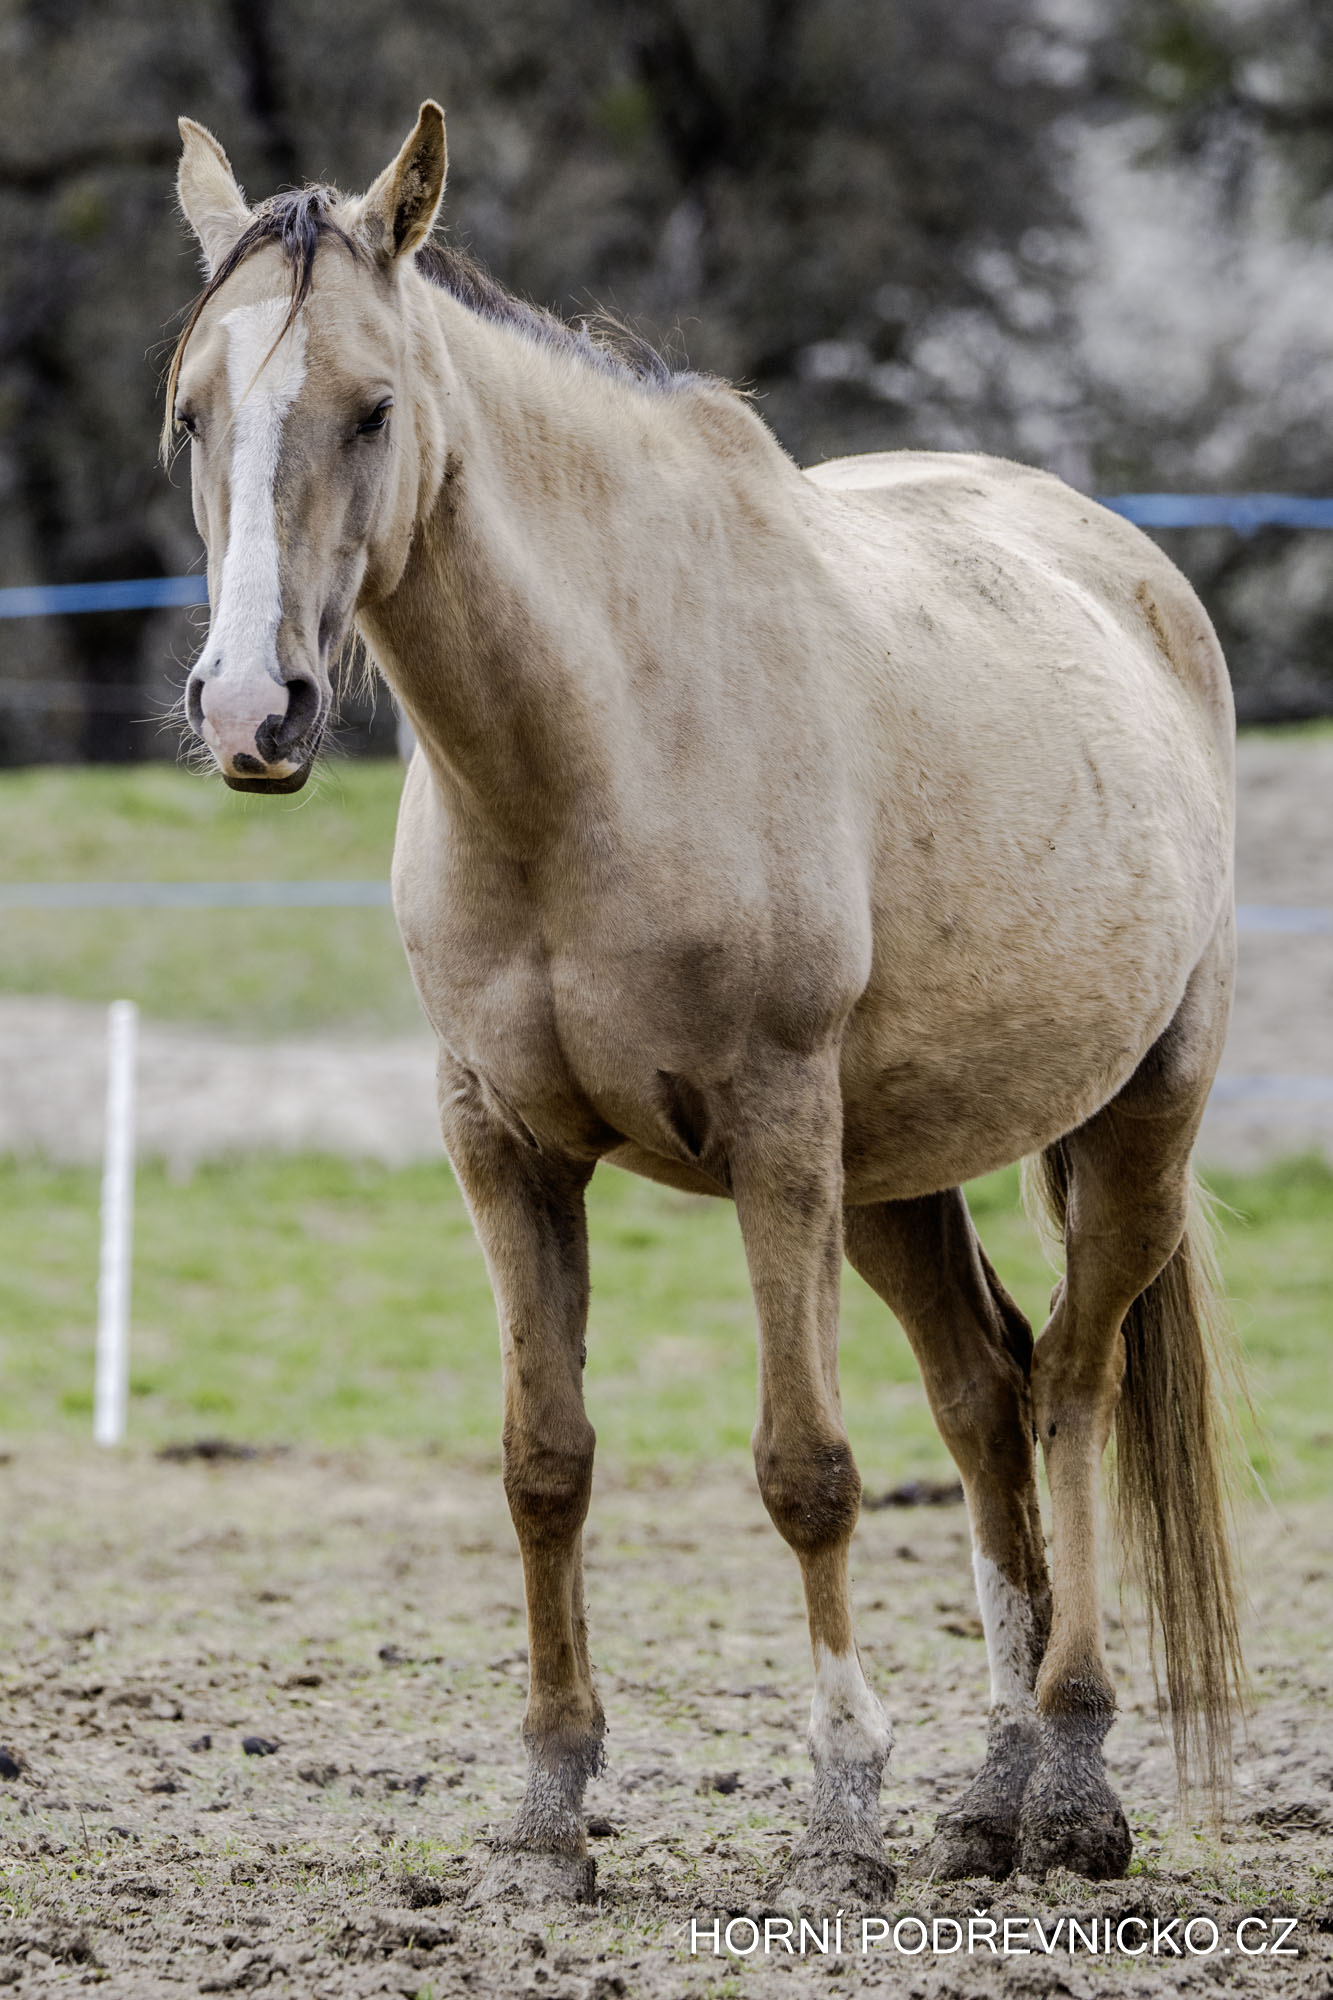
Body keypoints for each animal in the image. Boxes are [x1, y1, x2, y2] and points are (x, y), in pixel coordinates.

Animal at [166, 103, 1243, 1906]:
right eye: (193, 409)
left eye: (371, 408)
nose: (253, 708)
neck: (598, 742)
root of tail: (1132, 575)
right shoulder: (502, 1145)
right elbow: (544, 1463)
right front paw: (545, 1818)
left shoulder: (774, 1130)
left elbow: (804, 1471)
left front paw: (837, 1820)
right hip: (892, 1178)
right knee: (987, 1396)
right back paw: (989, 1798)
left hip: (1129, 1127)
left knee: (1076, 1390)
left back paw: (1075, 1785)